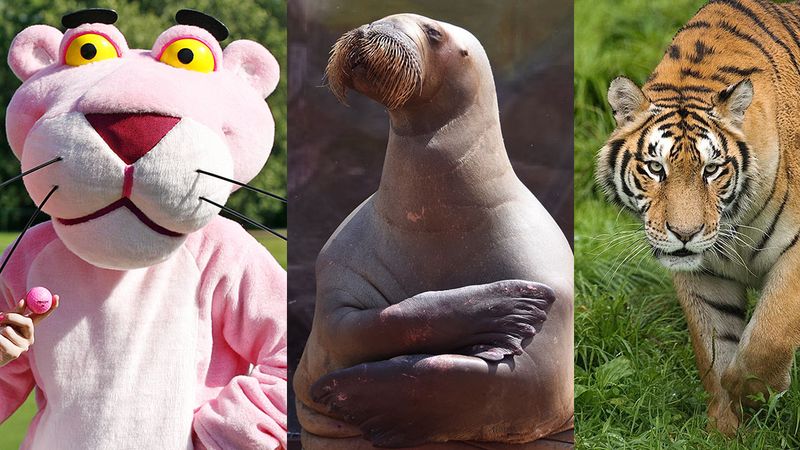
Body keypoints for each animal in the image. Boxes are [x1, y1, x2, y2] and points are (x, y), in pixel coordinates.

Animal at [596, 0, 800, 436]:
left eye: (712, 170)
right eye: (655, 168)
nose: (685, 234)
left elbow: (768, 338)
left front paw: (754, 393)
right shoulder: (703, 275)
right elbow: (713, 349)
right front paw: (725, 428)